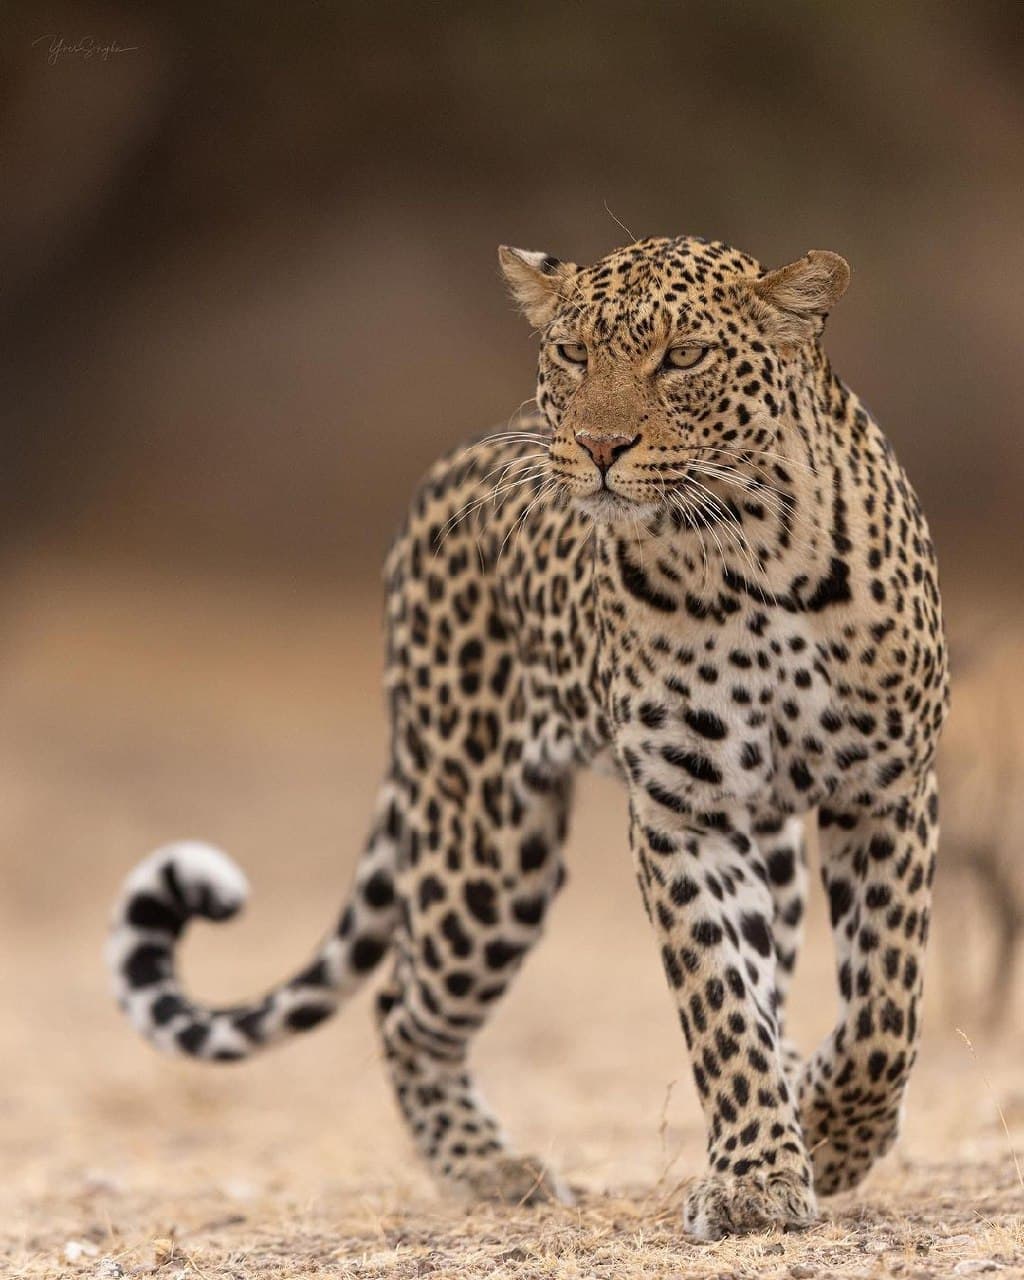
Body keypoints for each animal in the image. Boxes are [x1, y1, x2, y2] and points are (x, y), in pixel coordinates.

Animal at [107, 234, 949, 1239]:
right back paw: (493, 1169)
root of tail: (456, 461)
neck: (749, 560)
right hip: (486, 844)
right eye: (574, 354)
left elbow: (884, 1008)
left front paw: (830, 1130)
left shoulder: (886, 788)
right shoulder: (684, 815)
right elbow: (721, 1006)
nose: (599, 447)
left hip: (748, 842)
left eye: (683, 357)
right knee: (400, 1007)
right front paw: (758, 1174)